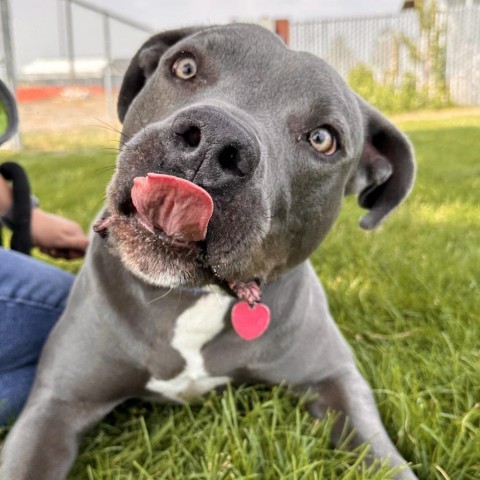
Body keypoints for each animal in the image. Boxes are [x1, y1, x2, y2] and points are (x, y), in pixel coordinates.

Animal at [0, 24, 416, 478]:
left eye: (323, 139)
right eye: (185, 66)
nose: (214, 141)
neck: (189, 295)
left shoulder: (336, 379)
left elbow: (384, 460)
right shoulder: (56, 404)